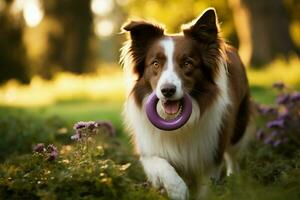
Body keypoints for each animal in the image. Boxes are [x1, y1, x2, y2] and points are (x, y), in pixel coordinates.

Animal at [120, 7, 251, 199]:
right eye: (155, 63)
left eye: (187, 63)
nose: (167, 90)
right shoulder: (149, 149)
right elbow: (163, 166)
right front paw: (178, 190)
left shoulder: (211, 154)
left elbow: (206, 188)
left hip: (238, 129)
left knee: (233, 157)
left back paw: (235, 182)